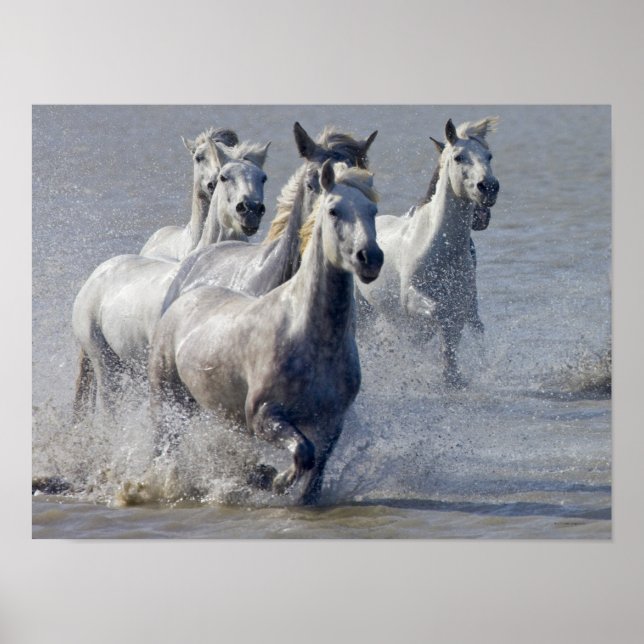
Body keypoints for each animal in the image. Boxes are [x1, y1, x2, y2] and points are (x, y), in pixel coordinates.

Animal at [148, 161, 383, 505]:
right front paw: (276, 481)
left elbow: (315, 469)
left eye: (372, 210)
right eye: (334, 210)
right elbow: (303, 451)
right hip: (168, 399)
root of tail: (183, 297)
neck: (313, 339)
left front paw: (276, 481)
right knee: (163, 446)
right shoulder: (263, 415)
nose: (370, 258)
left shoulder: (331, 422)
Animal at [357, 116, 499, 387]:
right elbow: (439, 315)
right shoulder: (412, 297)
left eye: (489, 156)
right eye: (459, 157)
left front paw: (453, 375)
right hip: (362, 310)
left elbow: (463, 327)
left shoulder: (464, 300)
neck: (438, 248)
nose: (489, 187)